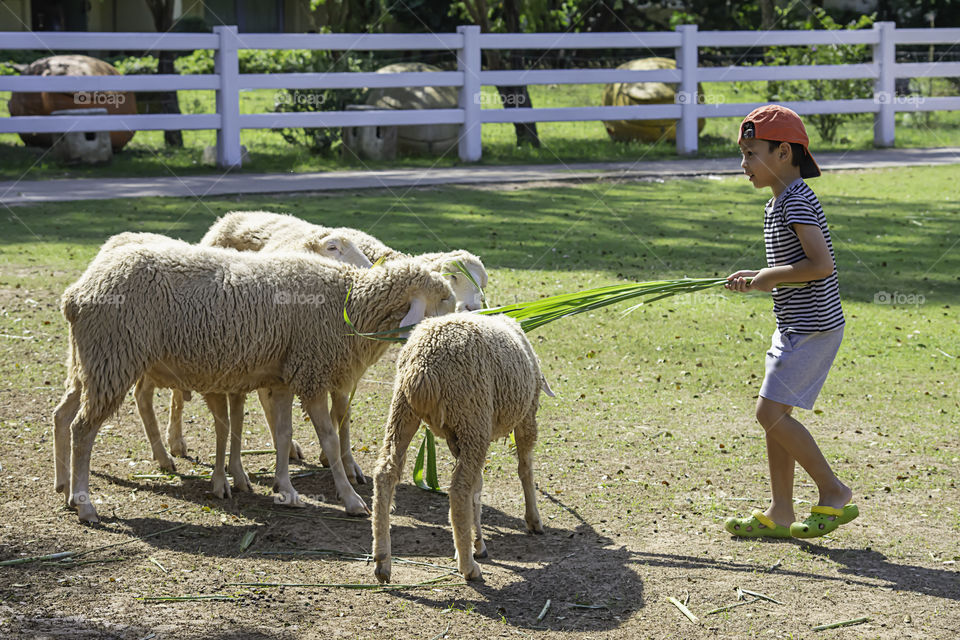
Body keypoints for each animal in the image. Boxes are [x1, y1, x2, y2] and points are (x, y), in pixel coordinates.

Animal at [52, 242, 458, 524]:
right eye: (442, 297)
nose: (458, 322)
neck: (347, 304)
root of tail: (76, 294)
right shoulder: (311, 372)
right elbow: (327, 438)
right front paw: (350, 499)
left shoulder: (284, 376)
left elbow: (282, 434)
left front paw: (286, 489)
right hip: (112, 357)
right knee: (82, 428)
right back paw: (86, 504)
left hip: (90, 361)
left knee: (62, 414)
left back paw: (64, 486)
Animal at [374, 312, 556, 584]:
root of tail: (423, 366)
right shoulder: (526, 416)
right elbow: (525, 467)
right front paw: (533, 520)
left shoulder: (456, 437)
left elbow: (478, 486)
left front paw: (476, 541)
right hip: (472, 414)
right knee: (459, 488)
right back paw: (468, 567)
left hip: (406, 409)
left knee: (386, 472)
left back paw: (382, 561)